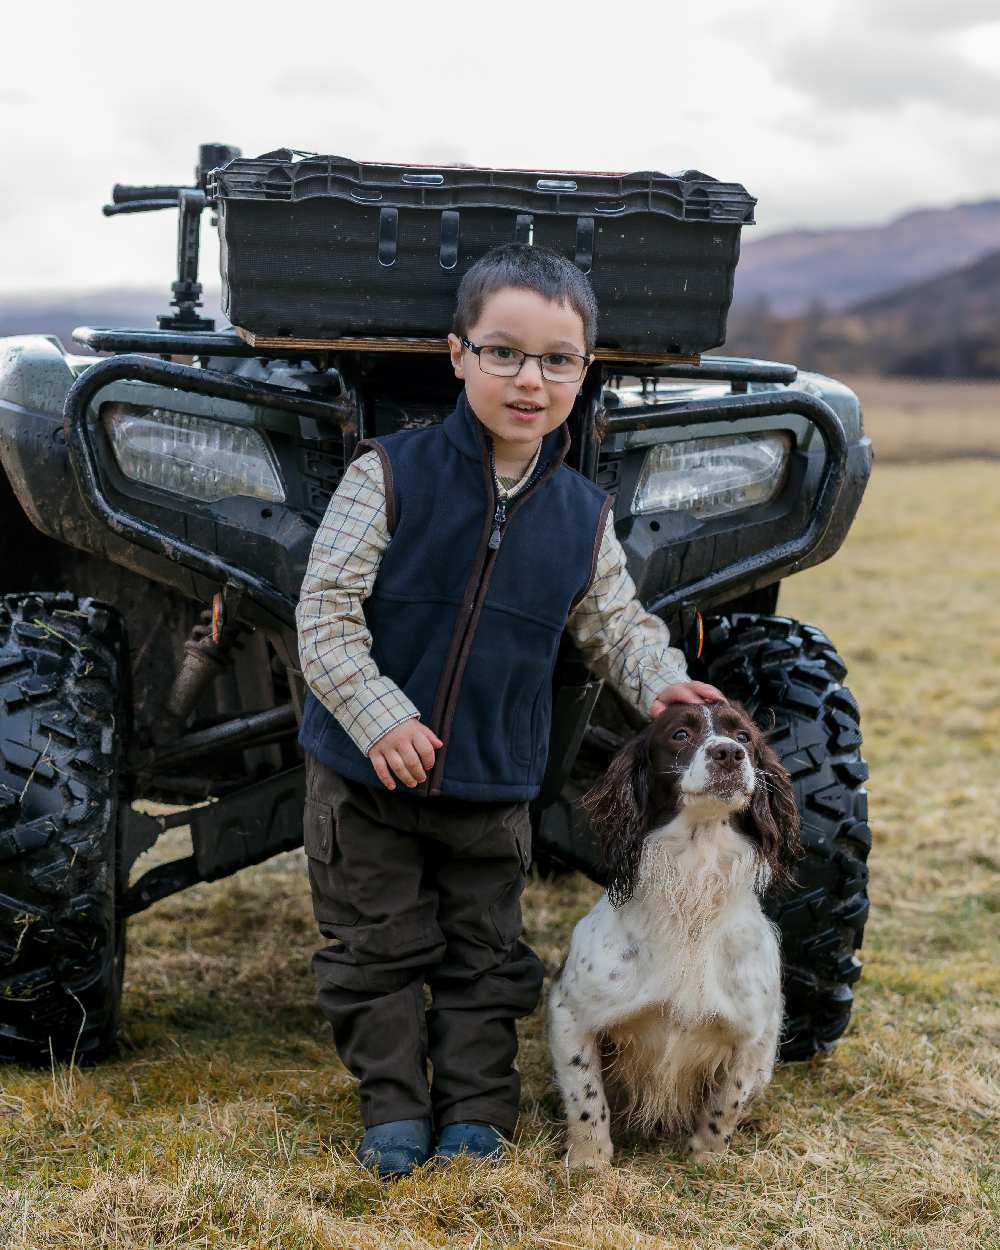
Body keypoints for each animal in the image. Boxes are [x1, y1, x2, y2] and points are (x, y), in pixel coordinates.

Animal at [547, 700, 795, 1165]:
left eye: (745, 736)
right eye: (680, 734)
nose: (729, 753)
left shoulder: (754, 1033)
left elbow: (726, 1102)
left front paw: (706, 1158)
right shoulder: (569, 1012)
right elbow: (586, 1097)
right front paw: (590, 1162)